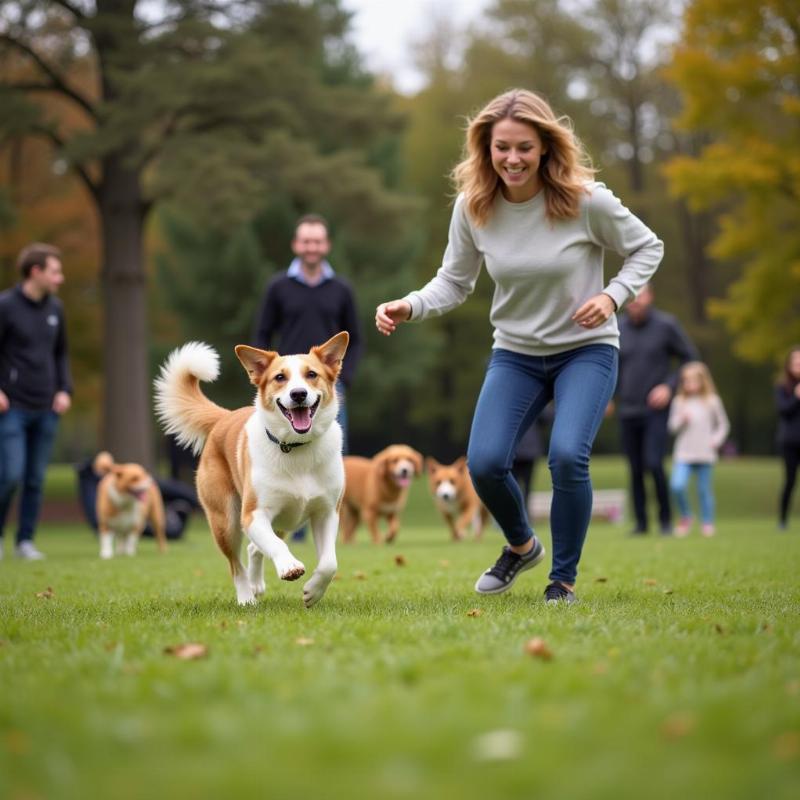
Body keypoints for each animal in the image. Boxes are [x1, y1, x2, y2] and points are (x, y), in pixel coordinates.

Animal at [153, 332, 346, 608]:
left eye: (312, 374)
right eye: (280, 377)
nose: (298, 394)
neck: (295, 448)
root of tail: (223, 417)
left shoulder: (327, 512)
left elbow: (329, 563)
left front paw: (312, 592)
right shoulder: (253, 514)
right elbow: (274, 546)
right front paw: (289, 566)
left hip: (283, 521)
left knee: (254, 548)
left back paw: (256, 586)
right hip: (226, 520)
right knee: (236, 564)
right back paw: (246, 597)